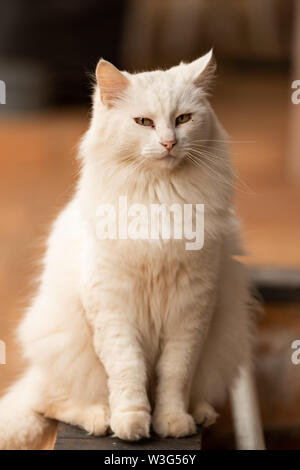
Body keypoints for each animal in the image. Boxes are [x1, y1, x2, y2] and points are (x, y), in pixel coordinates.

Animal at [0, 50, 253, 448]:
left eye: (183, 119)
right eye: (144, 122)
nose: (168, 143)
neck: (160, 198)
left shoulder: (191, 310)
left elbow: (174, 375)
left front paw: (172, 422)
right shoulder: (113, 306)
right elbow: (128, 372)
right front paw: (132, 424)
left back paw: (199, 414)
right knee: (50, 403)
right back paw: (100, 419)